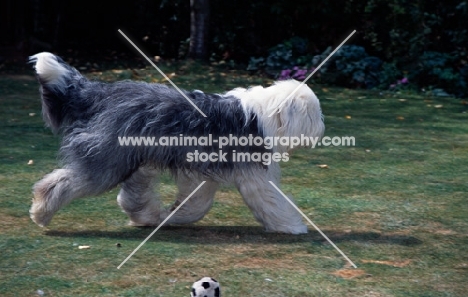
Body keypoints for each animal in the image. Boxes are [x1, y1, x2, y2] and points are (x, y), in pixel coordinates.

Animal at [27, 52, 324, 234]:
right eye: (315, 113)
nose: (322, 128)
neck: (264, 115)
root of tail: (100, 93)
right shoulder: (253, 174)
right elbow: (270, 199)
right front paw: (292, 225)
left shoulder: (202, 173)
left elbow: (196, 203)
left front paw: (174, 215)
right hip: (107, 160)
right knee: (62, 183)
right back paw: (40, 213)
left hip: (136, 159)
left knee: (132, 194)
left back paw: (146, 217)